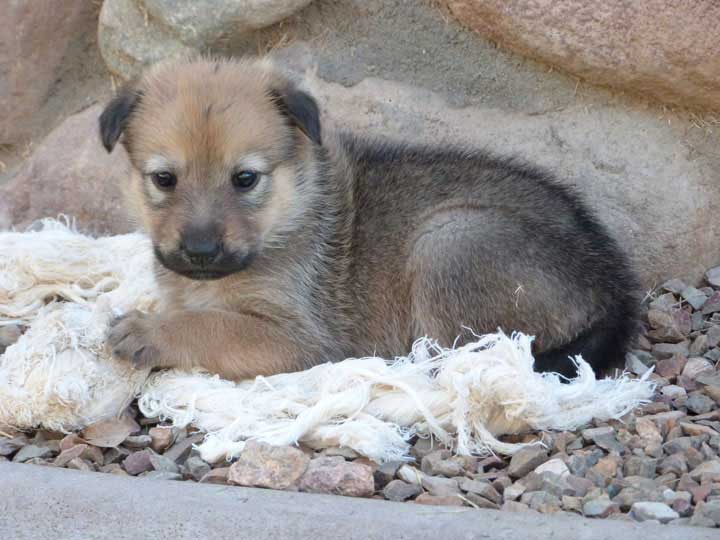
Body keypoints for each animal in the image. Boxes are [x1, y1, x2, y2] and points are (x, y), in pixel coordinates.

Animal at [98, 57, 640, 380]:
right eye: (164, 179)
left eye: (245, 179)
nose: (201, 252)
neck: (290, 213)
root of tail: (612, 288)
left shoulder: (300, 338)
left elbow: (210, 326)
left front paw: (150, 332)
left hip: (449, 241)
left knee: (463, 354)